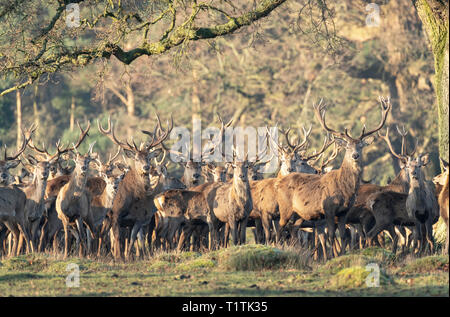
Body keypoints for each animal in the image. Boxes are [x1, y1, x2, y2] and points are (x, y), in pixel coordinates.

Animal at [274, 97, 390, 258]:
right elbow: (330, 237)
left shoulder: (343, 212)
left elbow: (343, 236)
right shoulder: (328, 209)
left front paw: (341, 255)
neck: (344, 188)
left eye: (360, 146)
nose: (355, 155)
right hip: (285, 208)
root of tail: (278, 183)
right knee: (279, 230)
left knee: (293, 229)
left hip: (299, 214)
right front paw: (330, 257)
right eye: (347, 146)